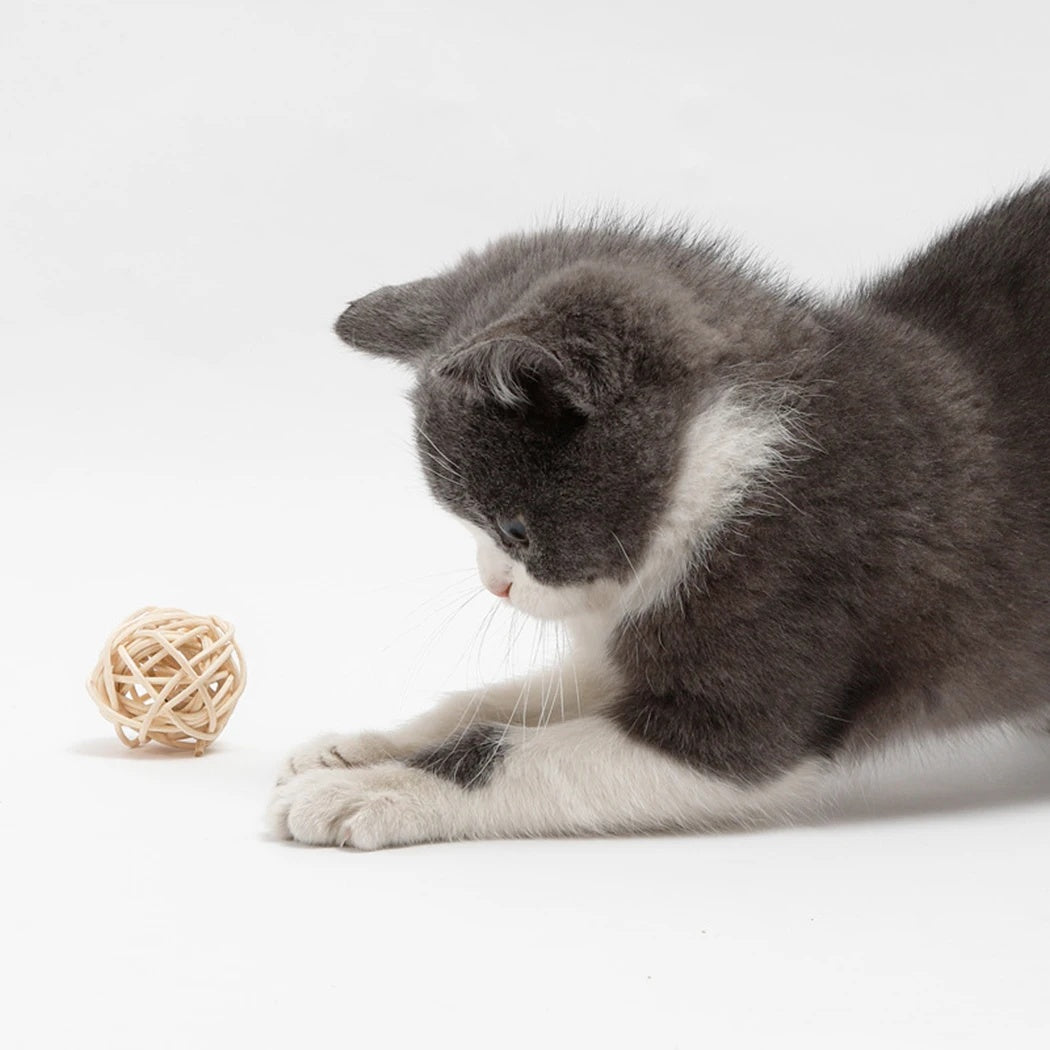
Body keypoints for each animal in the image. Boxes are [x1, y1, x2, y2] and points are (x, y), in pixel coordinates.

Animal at [266, 180, 1050, 848]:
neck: (719, 468)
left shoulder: (774, 643)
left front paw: (371, 789)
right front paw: (360, 747)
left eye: (513, 529)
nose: (497, 584)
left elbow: (521, 752)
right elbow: (504, 700)